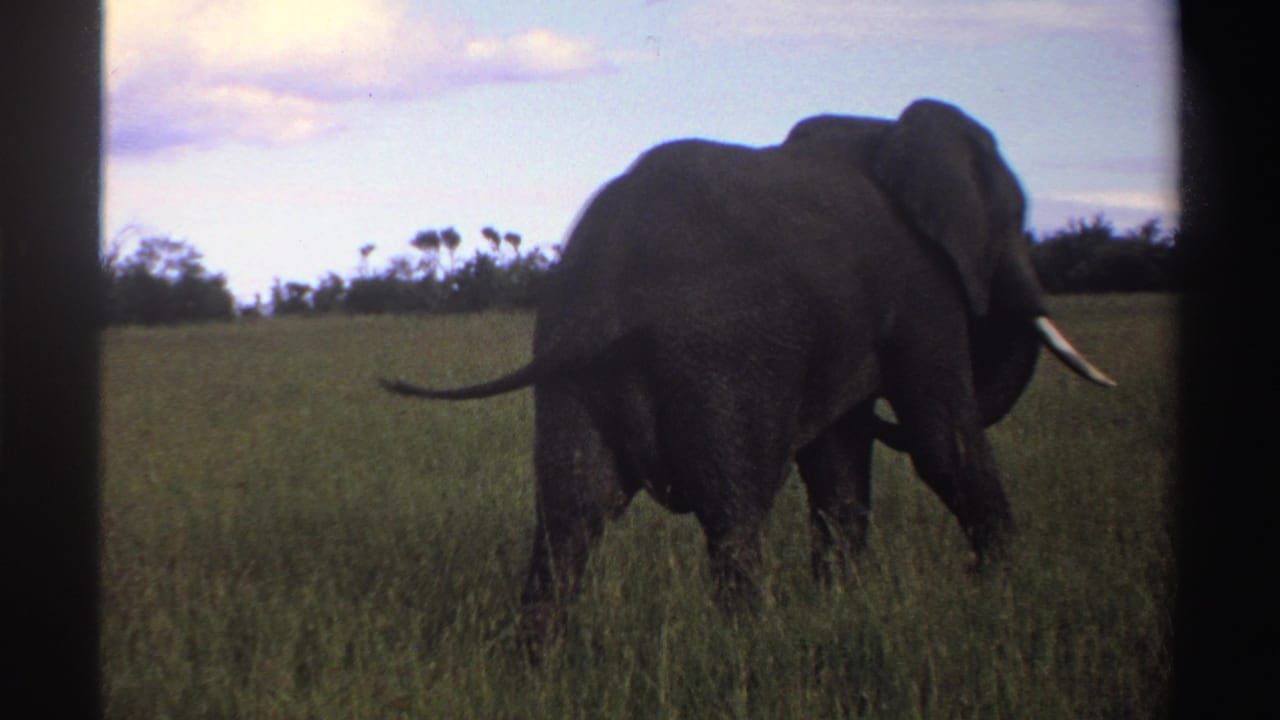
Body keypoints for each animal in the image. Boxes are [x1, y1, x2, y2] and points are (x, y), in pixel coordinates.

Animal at [380, 98, 1114, 648]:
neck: (889, 131)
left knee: (572, 512)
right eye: (1015, 221)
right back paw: (753, 651)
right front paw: (1007, 589)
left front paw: (841, 606)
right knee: (734, 509)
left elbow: (840, 466)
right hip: (720, 356)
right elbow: (942, 440)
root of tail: (607, 287)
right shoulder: (919, 291)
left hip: (574, 362)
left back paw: (539, 667)